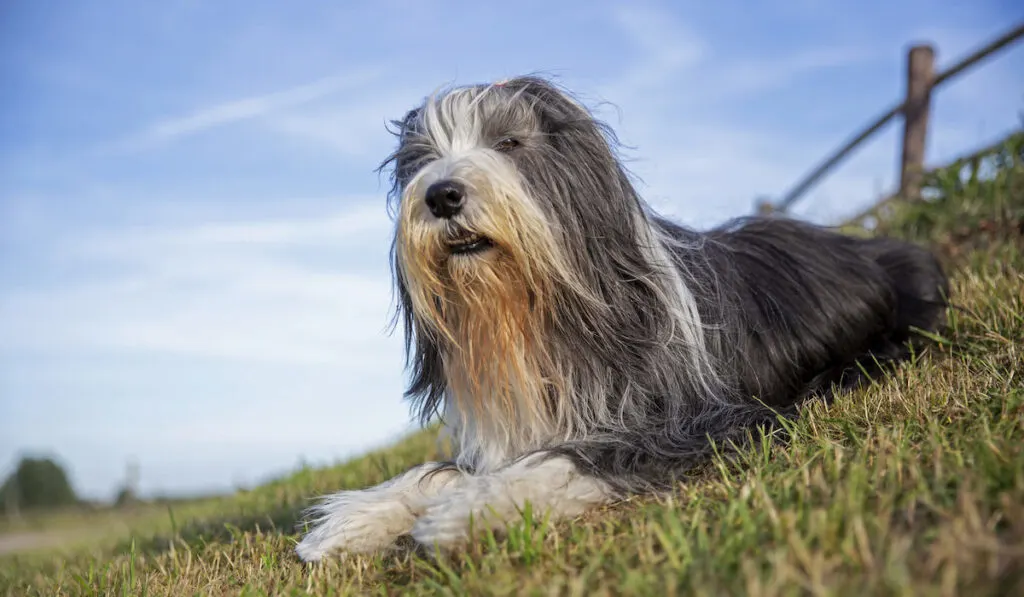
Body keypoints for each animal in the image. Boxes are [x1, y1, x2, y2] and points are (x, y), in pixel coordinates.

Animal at [292, 74, 946, 561]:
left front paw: (464, 514)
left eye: (509, 143)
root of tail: (877, 248)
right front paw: (353, 520)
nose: (441, 195)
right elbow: (438, 470)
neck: (541, 318)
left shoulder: (702, 423)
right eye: (422, 161)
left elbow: (577, 457)